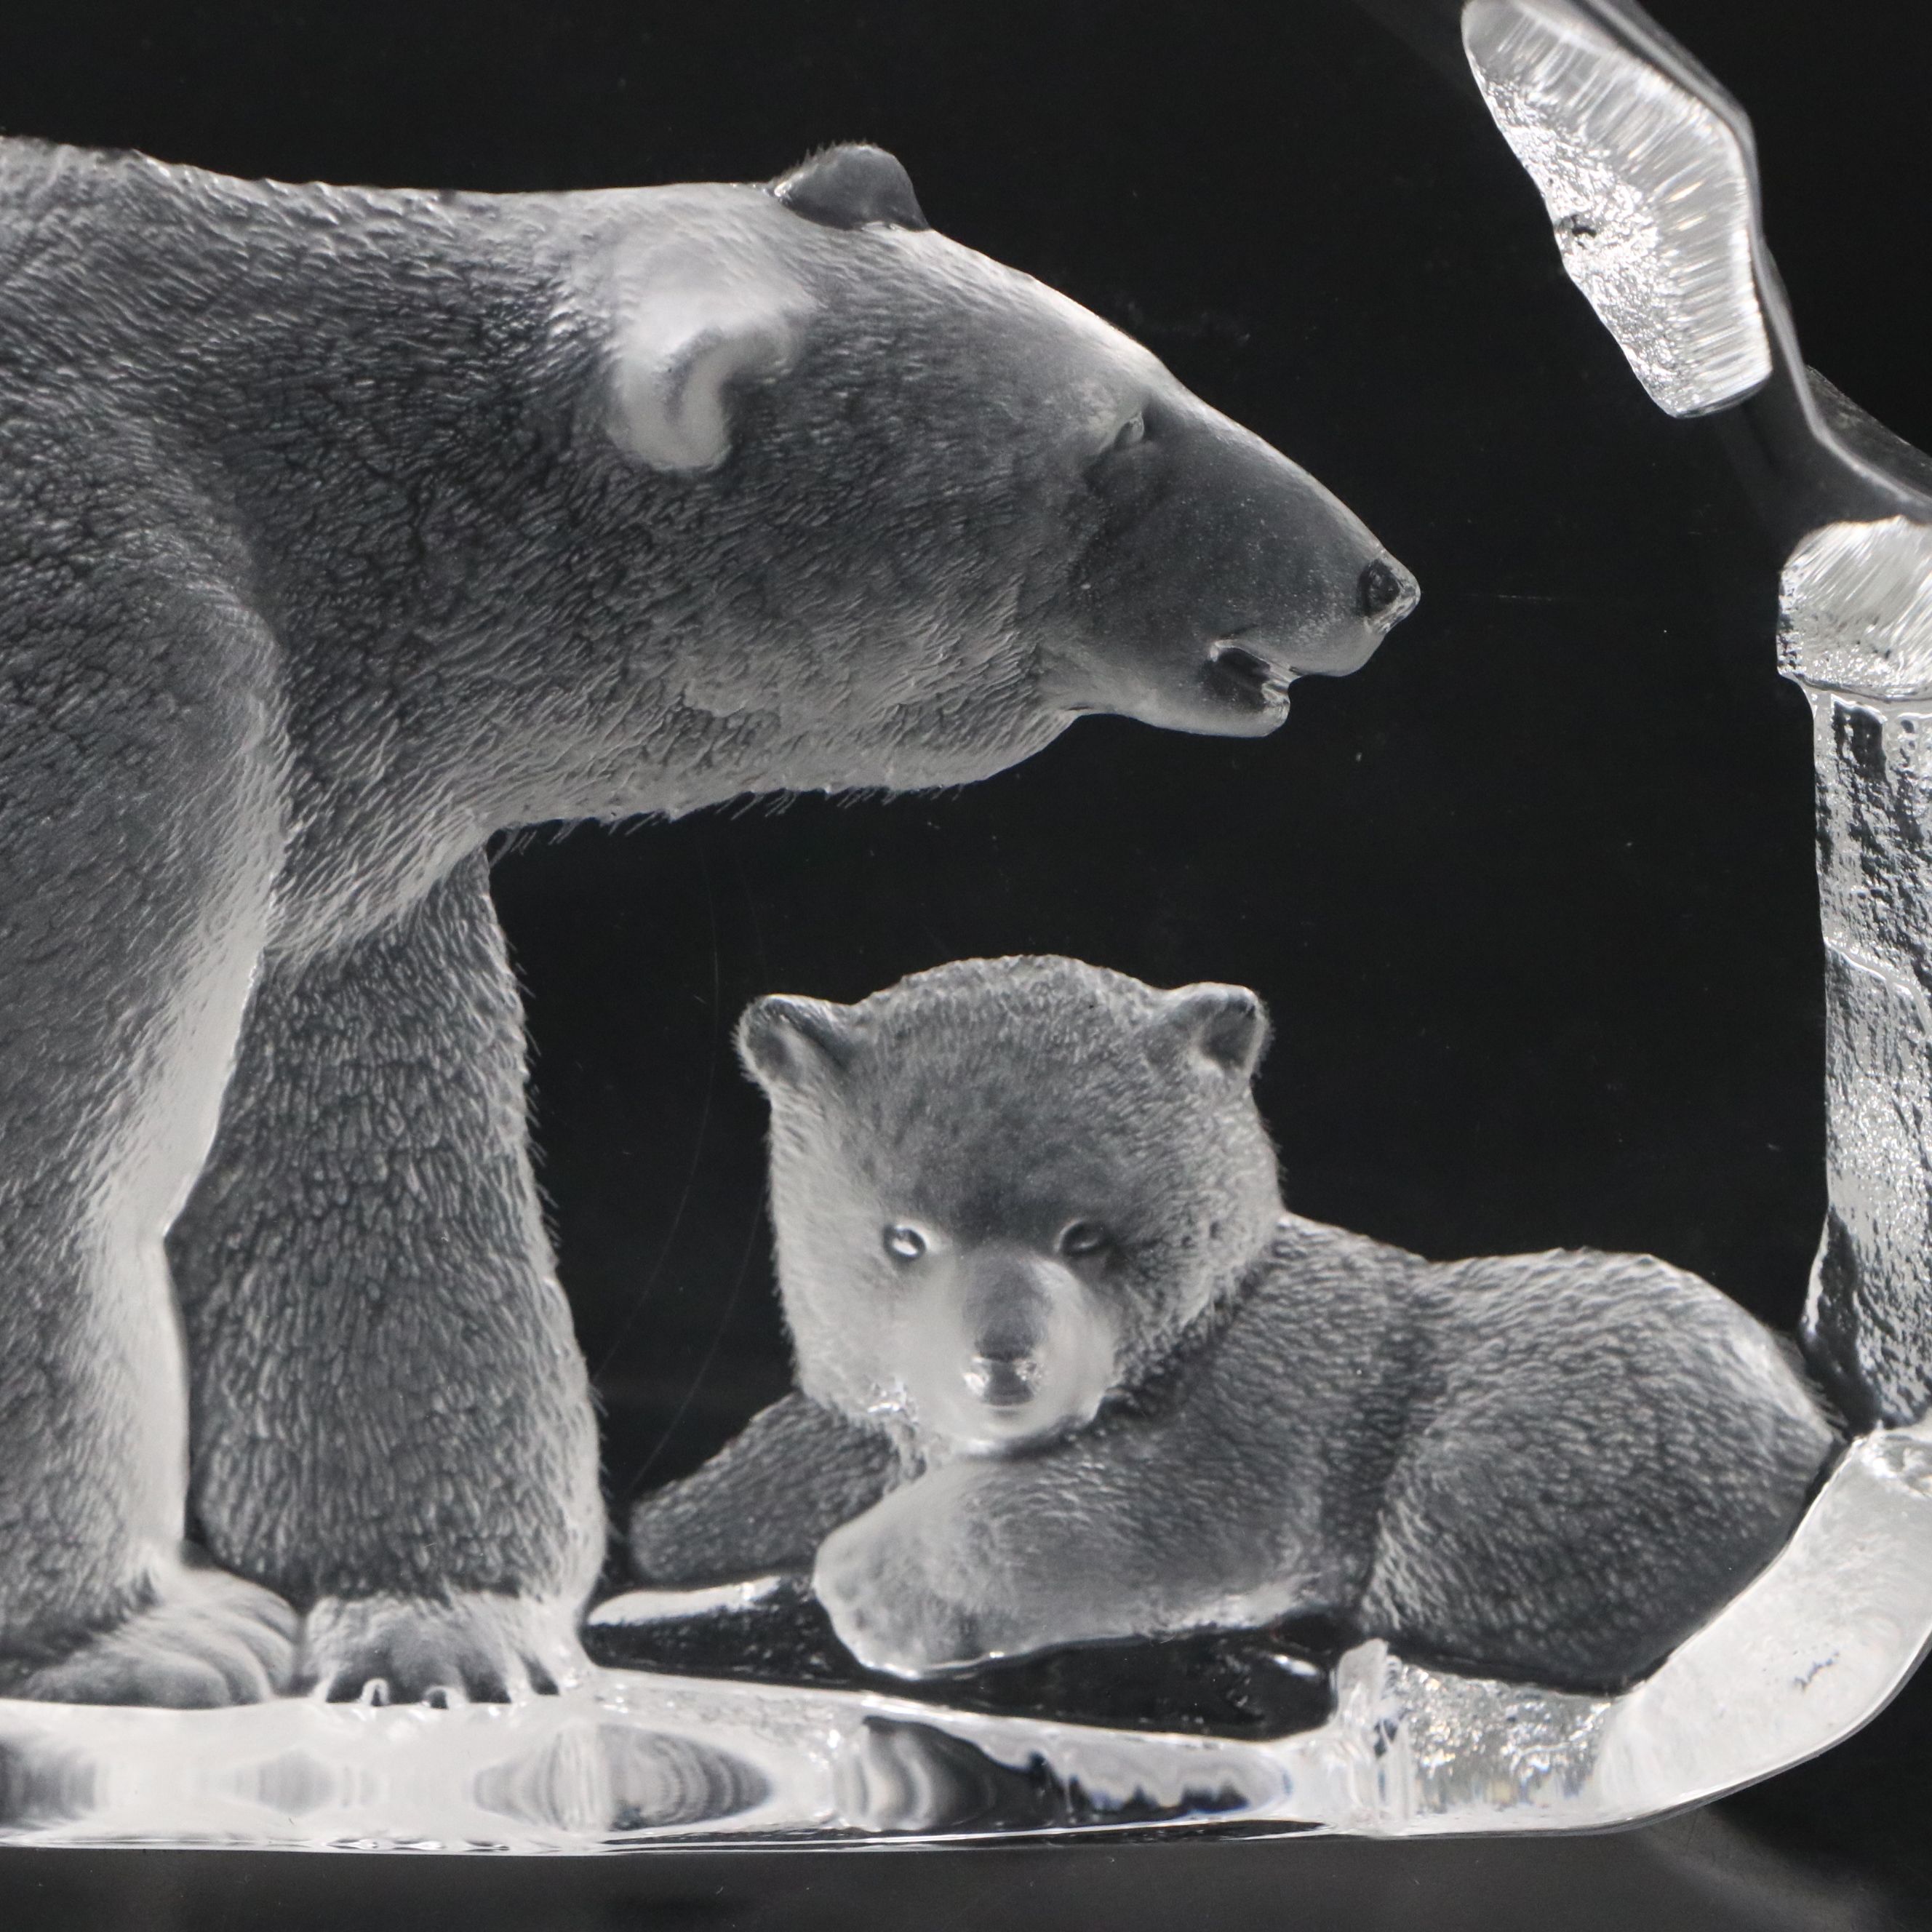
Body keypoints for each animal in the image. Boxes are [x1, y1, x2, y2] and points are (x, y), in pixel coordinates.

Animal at [0, 138, 1416, 1708]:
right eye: (1116, 441)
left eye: (1154, 369)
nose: (1375, 581)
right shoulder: (108, 625)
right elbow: (57, 1136)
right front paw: (145, 1632)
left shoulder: (345, 802)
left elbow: (367, 1158)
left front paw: (441, 1622)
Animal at [627, 955, 1839, 1692]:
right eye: (903, 1240)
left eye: (1090, 1236)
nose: (1002, 1367)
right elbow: (809, 1457)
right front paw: (662, 1536)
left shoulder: (1270, 1398)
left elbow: (1147, 1516)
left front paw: (875, 1584)